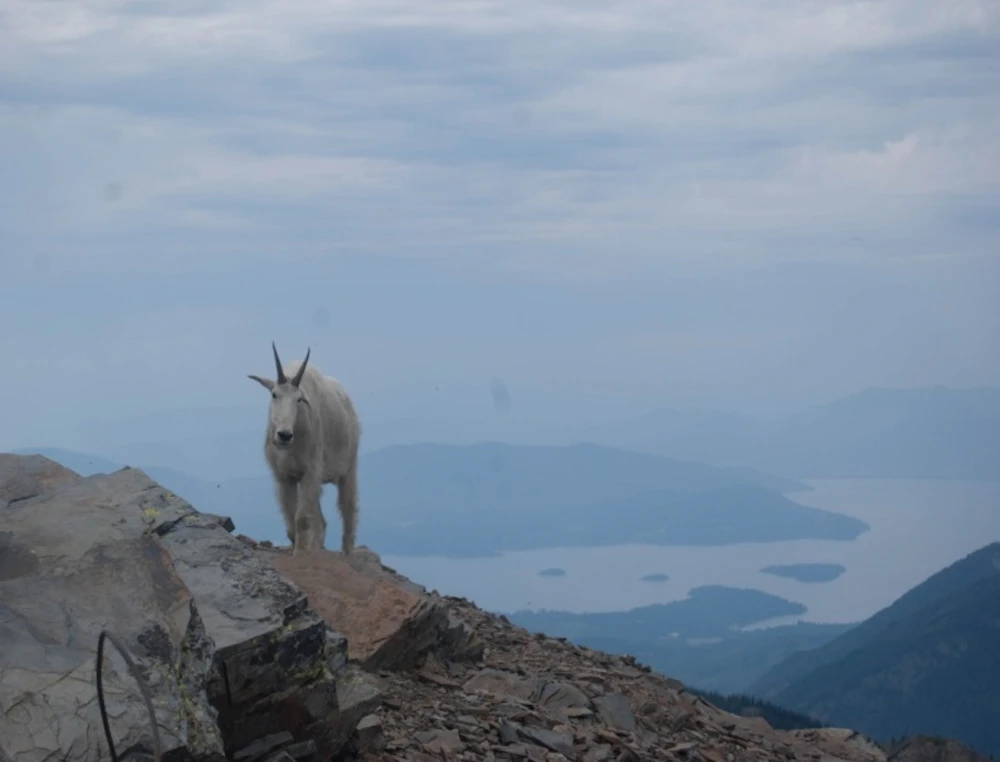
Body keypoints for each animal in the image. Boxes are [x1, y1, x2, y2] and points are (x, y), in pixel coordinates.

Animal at [248, 342, 361, 555]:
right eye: (274, 394)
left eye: (299, 399)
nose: (284, 435)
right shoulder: (284, 476)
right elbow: (292, 516)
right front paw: (298, 549)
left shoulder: (311, 471)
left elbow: (302, 518)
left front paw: (300, 554)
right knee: (321, 521)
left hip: (349, 469)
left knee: (348, 511)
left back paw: (347, 552)